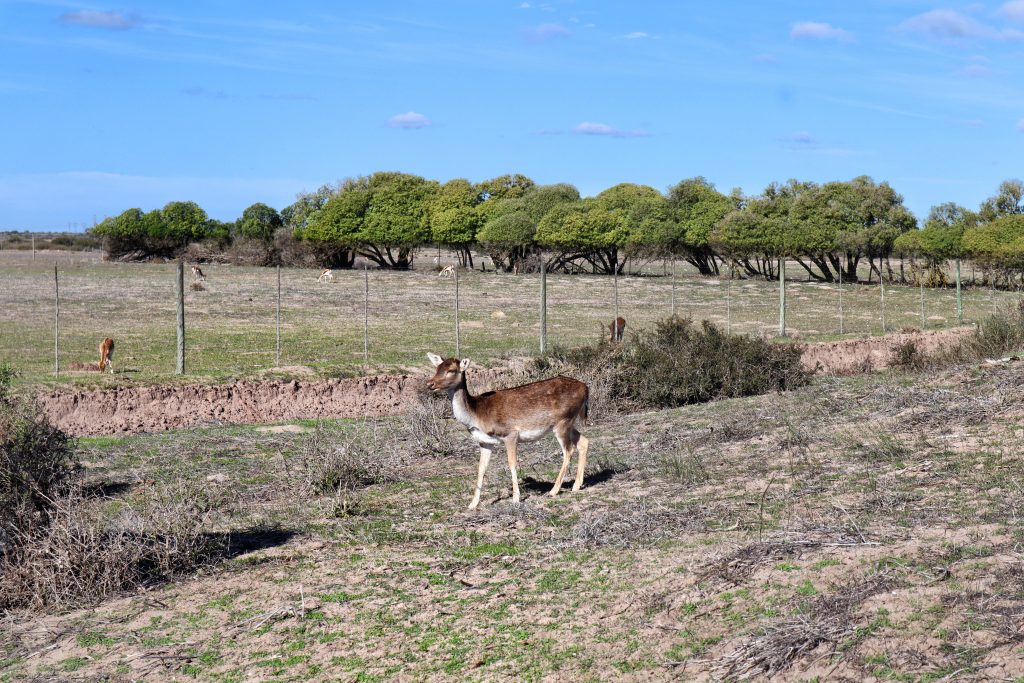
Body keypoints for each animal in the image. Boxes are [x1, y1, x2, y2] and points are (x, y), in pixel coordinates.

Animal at [423, 356, 589, 509]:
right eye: (437, 368)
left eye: (451, 370)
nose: (430, 384)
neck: (476, 415)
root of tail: (585, 387)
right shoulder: (484, 442)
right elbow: (481, 468)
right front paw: (472, 504)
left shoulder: (510, 433)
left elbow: (512, 463)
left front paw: (516, 498)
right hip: (569, 423)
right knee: (583, 441)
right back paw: (576, 485)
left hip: (563, 421)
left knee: (568, 450)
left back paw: (554, 491)